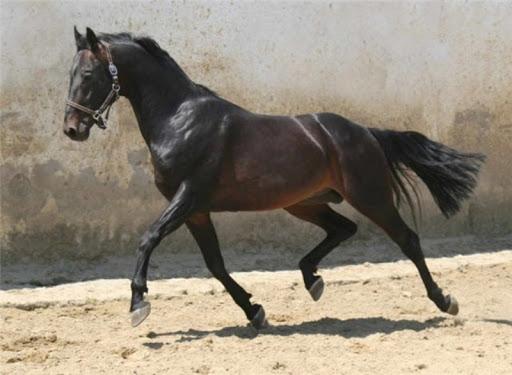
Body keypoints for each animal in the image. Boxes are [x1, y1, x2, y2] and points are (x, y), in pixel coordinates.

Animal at [63, 27, 484, 330]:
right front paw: (254, 312)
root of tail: (366, 132)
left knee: (407, 239)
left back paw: (444, 300)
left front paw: (138, 304)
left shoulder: (188, 198)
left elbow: (149, 238)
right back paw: (312, 279)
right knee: (343, 229)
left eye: (89, 73)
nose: (72, 129)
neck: (179, 118)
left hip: (370, 196)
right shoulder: (196, 211)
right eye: (70, 73)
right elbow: (215, 265)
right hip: (304, 203)